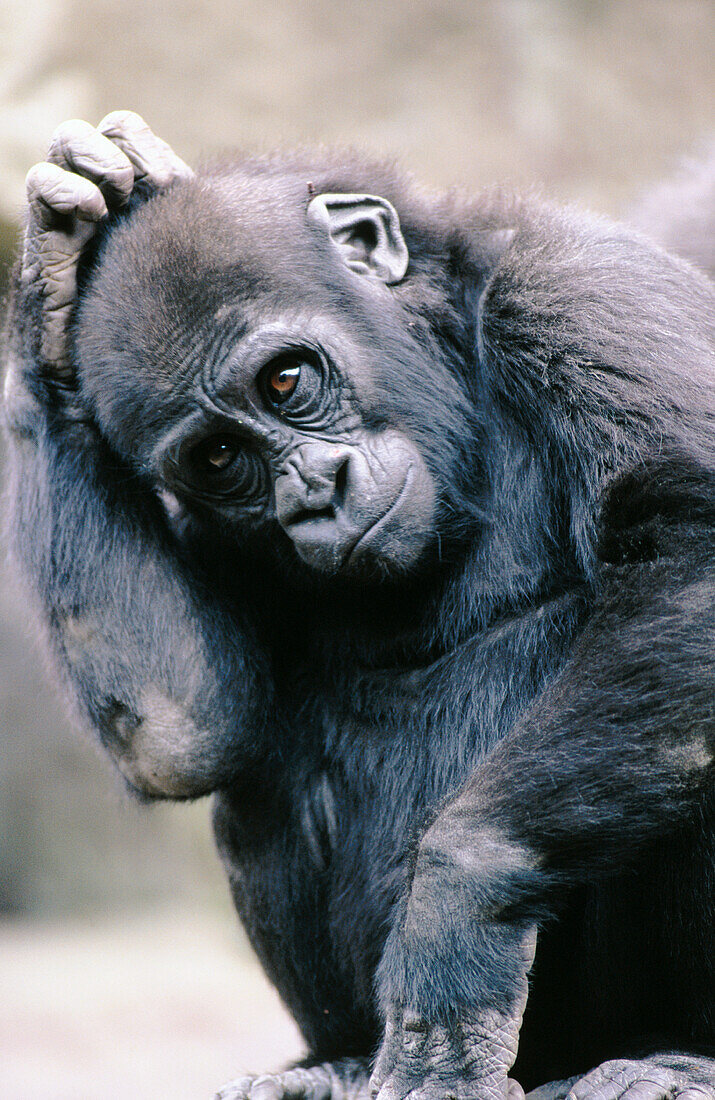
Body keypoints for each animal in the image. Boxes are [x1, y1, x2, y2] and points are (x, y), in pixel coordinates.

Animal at [2, 113, 708, 1100]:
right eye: (219, 458)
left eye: (285, 381)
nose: (313, 491)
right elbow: (184, 727)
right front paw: (53, 278)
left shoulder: (586, 291)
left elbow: (690, 554)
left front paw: (454, 932)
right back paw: (327, 1064)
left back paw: (670, 1055)